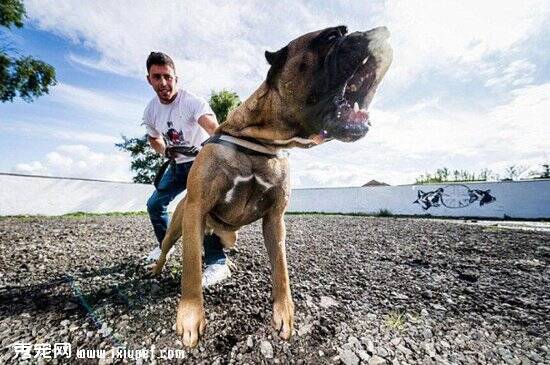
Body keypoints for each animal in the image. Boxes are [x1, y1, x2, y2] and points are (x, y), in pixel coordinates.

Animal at [149, 24, 394, 344]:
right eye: (332, 36)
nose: (382, 31)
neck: (262, 141)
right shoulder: (196, 209)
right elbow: (190, 269)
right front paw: (190, 316)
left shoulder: (275, 220)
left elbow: (281, 269)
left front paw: (284, 312)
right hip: (180, 223)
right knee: (168, 248)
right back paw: (155, 269)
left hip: (227, 234)